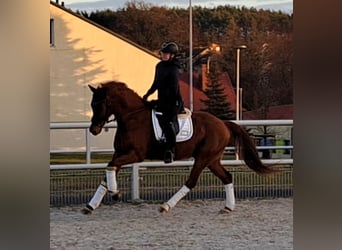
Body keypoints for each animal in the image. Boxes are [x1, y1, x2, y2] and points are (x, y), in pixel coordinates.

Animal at [81, 81, 274, 214]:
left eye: (99, 104)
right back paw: (228, 208)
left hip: (203, 157)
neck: (132, 117)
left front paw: (115, 192)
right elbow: (108, 171)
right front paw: (91, 205)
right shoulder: (120, 153)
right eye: (91, 104)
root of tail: (223, 123)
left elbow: (110, 166)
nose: (93, 129)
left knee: (191, 181)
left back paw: (166, 206)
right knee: (227, 177)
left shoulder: (135, 154)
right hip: (212, 159)